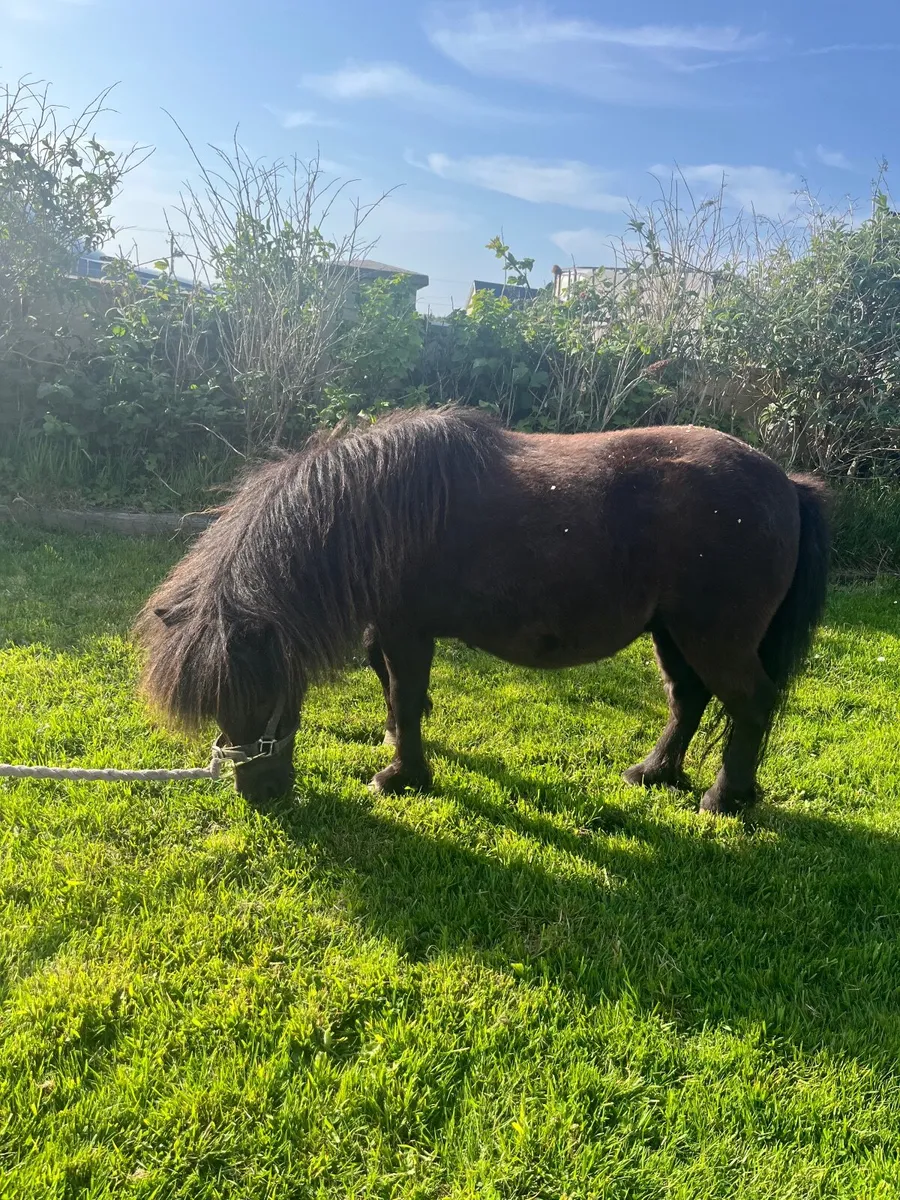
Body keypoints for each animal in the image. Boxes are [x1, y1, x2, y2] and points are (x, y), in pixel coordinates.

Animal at [134, 406, 830, 815]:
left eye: (267, 692)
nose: (263, 795)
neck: (374, 509)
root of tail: (786, 483)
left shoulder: (408, 631)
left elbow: (404, 693)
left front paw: (402, 776)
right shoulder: (385, 630)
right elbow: (392, 689)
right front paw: (399, 748)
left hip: (714, 636)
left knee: (750, 703)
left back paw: (724, 796)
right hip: (672, 633)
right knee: (688, 698)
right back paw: (655, 773)